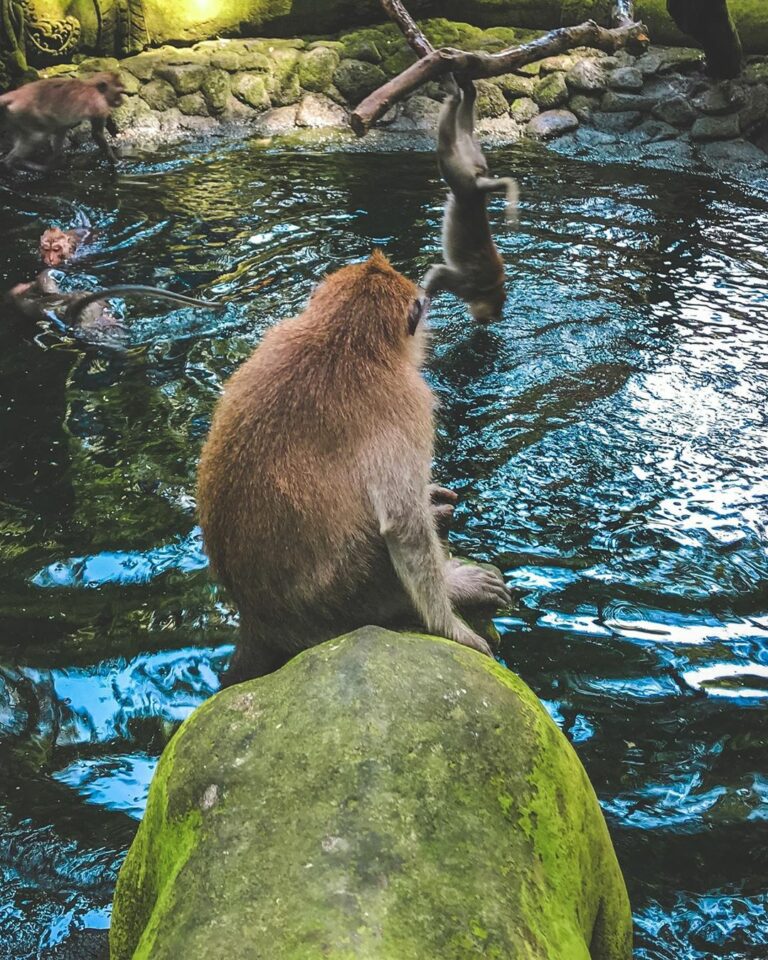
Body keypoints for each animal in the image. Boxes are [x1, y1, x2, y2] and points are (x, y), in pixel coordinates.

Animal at [196, 253, 510, 684]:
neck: (341, 337)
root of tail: (256, 620)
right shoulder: (410, 401)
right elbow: (402, 526)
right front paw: (451, 627)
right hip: (351, 597)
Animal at [424, 72, 520, 326]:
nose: (481, 321)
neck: (492, 290)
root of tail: (479, 186)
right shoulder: (469, 287)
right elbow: (439, 276)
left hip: (471, 156)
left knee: (464, 132)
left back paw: (467, 92)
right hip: (461, 175)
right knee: (446, 148)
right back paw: (456, 95)